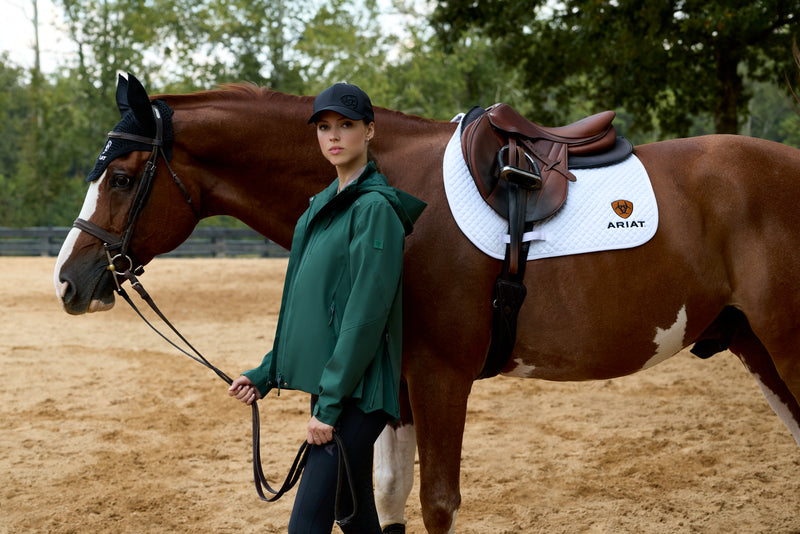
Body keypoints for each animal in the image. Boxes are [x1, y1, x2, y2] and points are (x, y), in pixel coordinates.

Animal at [54, 73, 800, 534]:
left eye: (121, 177)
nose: (68, 280)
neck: (393, 192)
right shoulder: (400, 381)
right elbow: (387, 492)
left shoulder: (442, 377)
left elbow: (439, 501)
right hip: (756, 346)